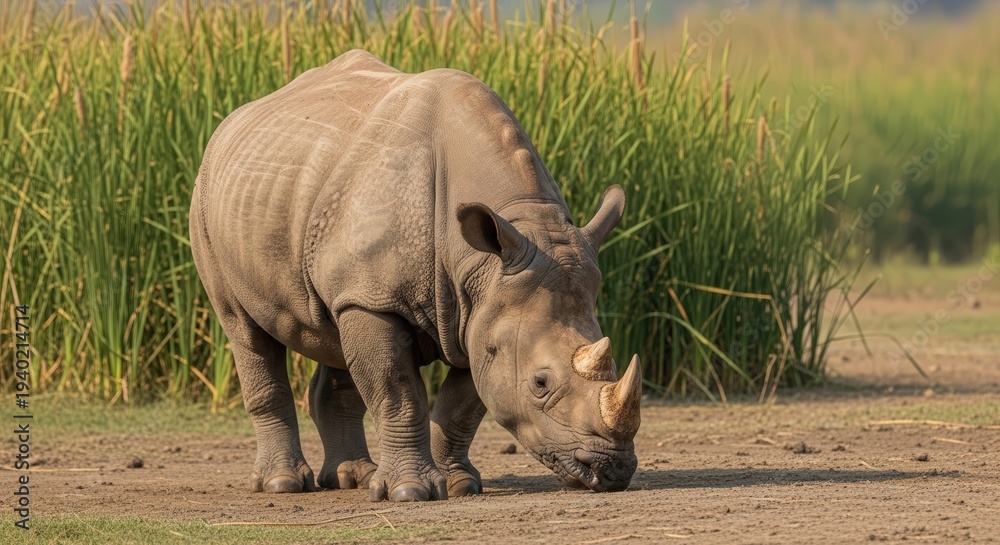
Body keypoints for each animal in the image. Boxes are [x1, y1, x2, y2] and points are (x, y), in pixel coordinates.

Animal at [189, 49, 641, 502]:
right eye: (540, 382)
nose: (613, 470)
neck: (485, 260)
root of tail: (227, 127)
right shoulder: (379, 298)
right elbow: (398, 392)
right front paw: (410, 492)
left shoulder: (478, 311)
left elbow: (461, 406)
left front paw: (459, 486)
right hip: (208, 201)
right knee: (244, 329)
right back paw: (282, 484)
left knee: (334, 334)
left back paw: (353, 478)